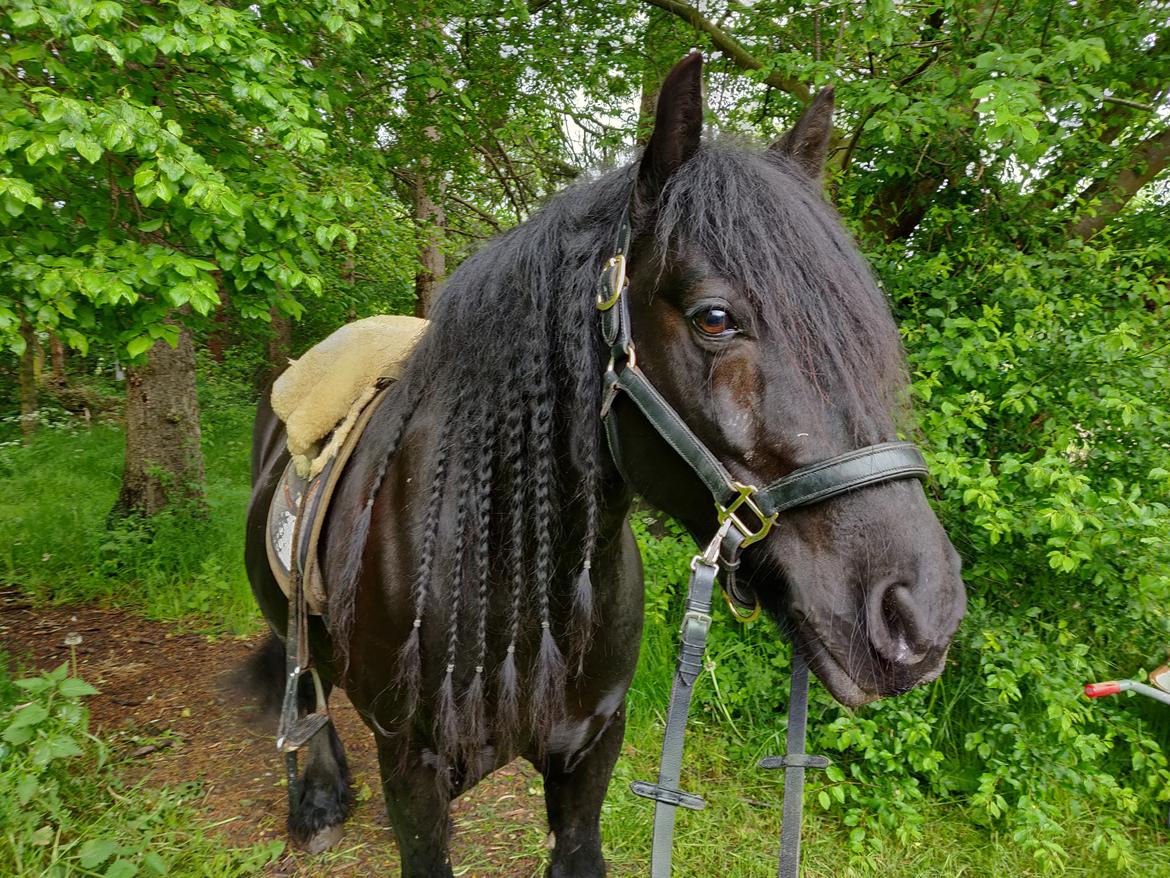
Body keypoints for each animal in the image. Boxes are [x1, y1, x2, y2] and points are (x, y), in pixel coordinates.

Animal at [242, 53, 966, 877]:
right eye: (714, 318)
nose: (924, 611)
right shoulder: (411, 771)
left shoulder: (591, 749)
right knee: (308, 692)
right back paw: (318, 797)